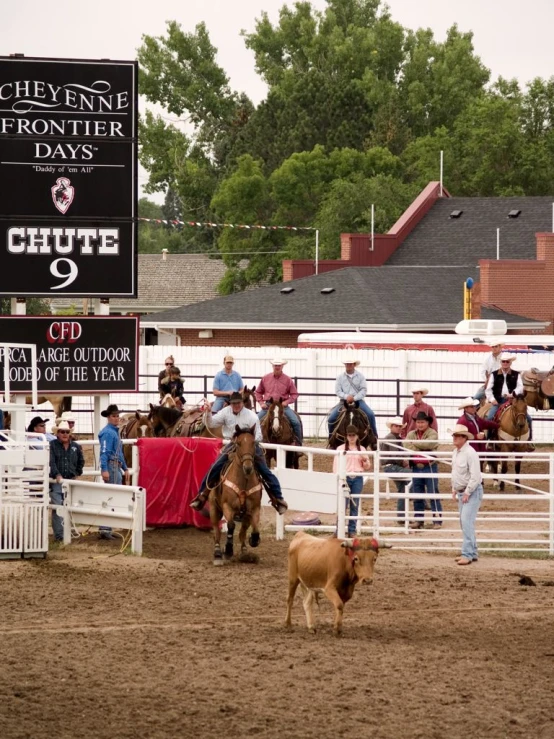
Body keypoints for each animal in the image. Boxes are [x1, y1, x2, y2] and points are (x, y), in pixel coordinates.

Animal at [209, 428, 264, 568]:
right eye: (238, 443)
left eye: (253, 442)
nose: (248, 467)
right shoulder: (227, 506)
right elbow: (230, 525)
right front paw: (228, 550)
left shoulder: (254, 508)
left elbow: (255, 529)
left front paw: (254, 540)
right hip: (214, 508)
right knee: (217, 532)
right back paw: (218, 554)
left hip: (245, 516)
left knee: (242, 532)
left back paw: (245, 553)